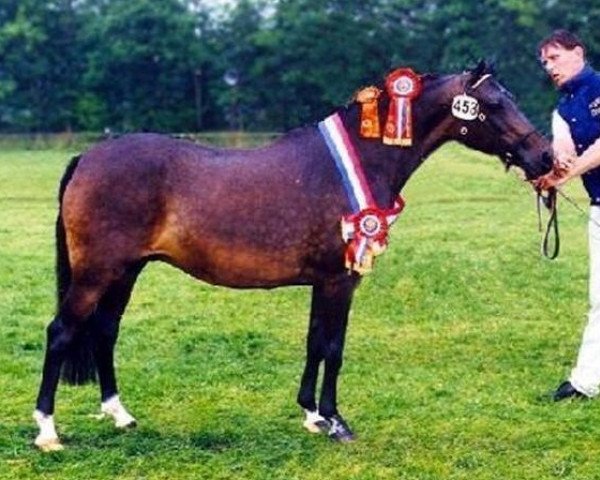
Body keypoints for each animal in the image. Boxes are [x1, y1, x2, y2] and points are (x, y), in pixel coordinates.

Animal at [30, 62, 552, 450]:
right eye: (495, 103)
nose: (545, 157)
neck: (359, 161)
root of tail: (87, 157)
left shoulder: (323, 282)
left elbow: (314, 342)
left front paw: (311, 414)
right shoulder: (341, 280)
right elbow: (334, 348)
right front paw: (337, 422)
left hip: (125, 271)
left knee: (104, 330)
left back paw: (120, 415)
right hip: (96, 273)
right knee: (61, 332)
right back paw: (48, 432)